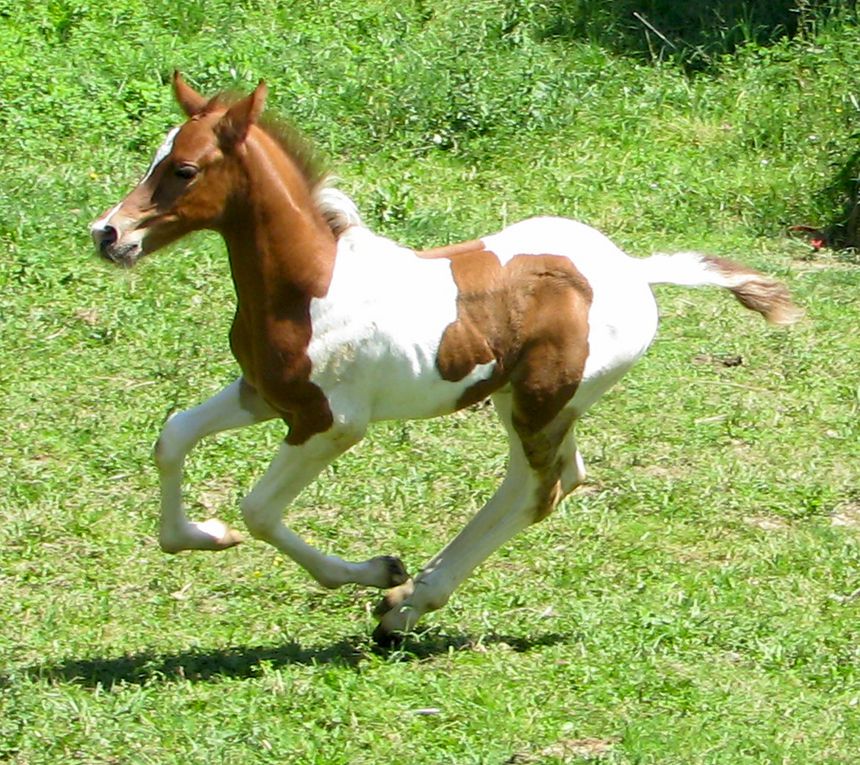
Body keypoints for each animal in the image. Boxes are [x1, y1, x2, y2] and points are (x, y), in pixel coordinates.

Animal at [90, 74, 804, 640]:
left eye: (184, 169)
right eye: (154, 158)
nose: (108, 233)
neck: (310, 287)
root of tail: (632, 270)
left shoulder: (330, 424)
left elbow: (260, 510)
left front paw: (375, 568)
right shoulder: (263, 393)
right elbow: (172, 436)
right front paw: (200, 536)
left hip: (541, 401)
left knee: (538, 491)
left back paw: (407, 604)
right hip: (528, 400)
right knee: (552, 479)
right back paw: (409, 600)